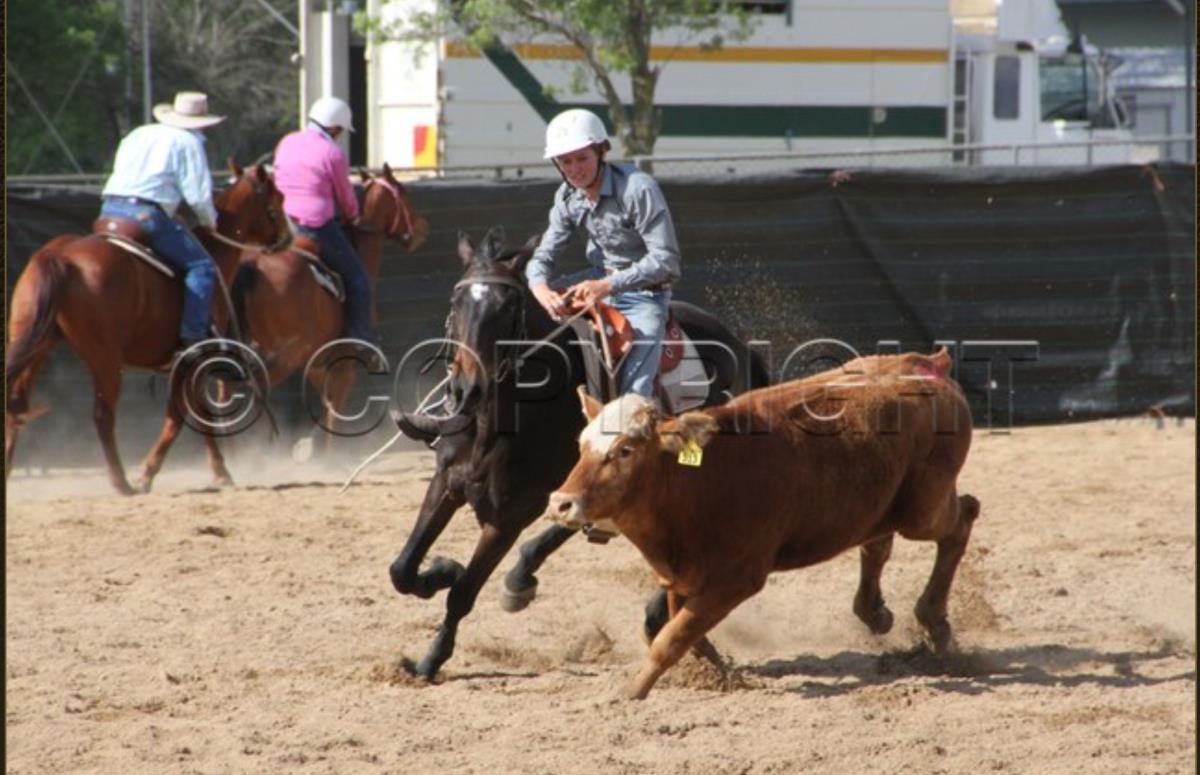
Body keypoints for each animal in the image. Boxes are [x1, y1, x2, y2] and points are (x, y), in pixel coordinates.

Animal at [5, 162, 289, 495]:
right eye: (277, 198)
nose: (287, 238)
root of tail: (60, 257)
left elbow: (191, 416)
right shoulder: (194, 359)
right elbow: (182, 416)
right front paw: (160, 473)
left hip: (35, 341)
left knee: (16, 401)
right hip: (104, 358)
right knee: (102, 415)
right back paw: (121, 482)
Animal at [229, 162, 429, 441]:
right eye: (403, 191)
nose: (422, 228)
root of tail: (251, 265)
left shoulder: (317, 365)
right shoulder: (344, 365)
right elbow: (335, 415)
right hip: (286, 353)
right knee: (256, 383)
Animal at [389, 229, 772, 680]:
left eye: (508, 306)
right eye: (456, 300)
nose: (466, 389)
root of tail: (744, 350)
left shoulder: (510, 513)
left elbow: (464, 592)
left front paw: (431, 658)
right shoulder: (447, 482)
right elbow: (402, 569)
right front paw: (443, 570)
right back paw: (523, 577)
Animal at [545, 348, 980, 699]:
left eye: (625, 450)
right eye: (582, 445)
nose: (561, 503)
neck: (695, 483)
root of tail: (926, 363)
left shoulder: (735, 580)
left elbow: (671, 638)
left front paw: (632, 690)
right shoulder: (681, 576)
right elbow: (686, 633)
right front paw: (717, 673)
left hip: (921, 510)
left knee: (963, 516)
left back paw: (933, 621)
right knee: (877, 542)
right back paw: (875, 612)